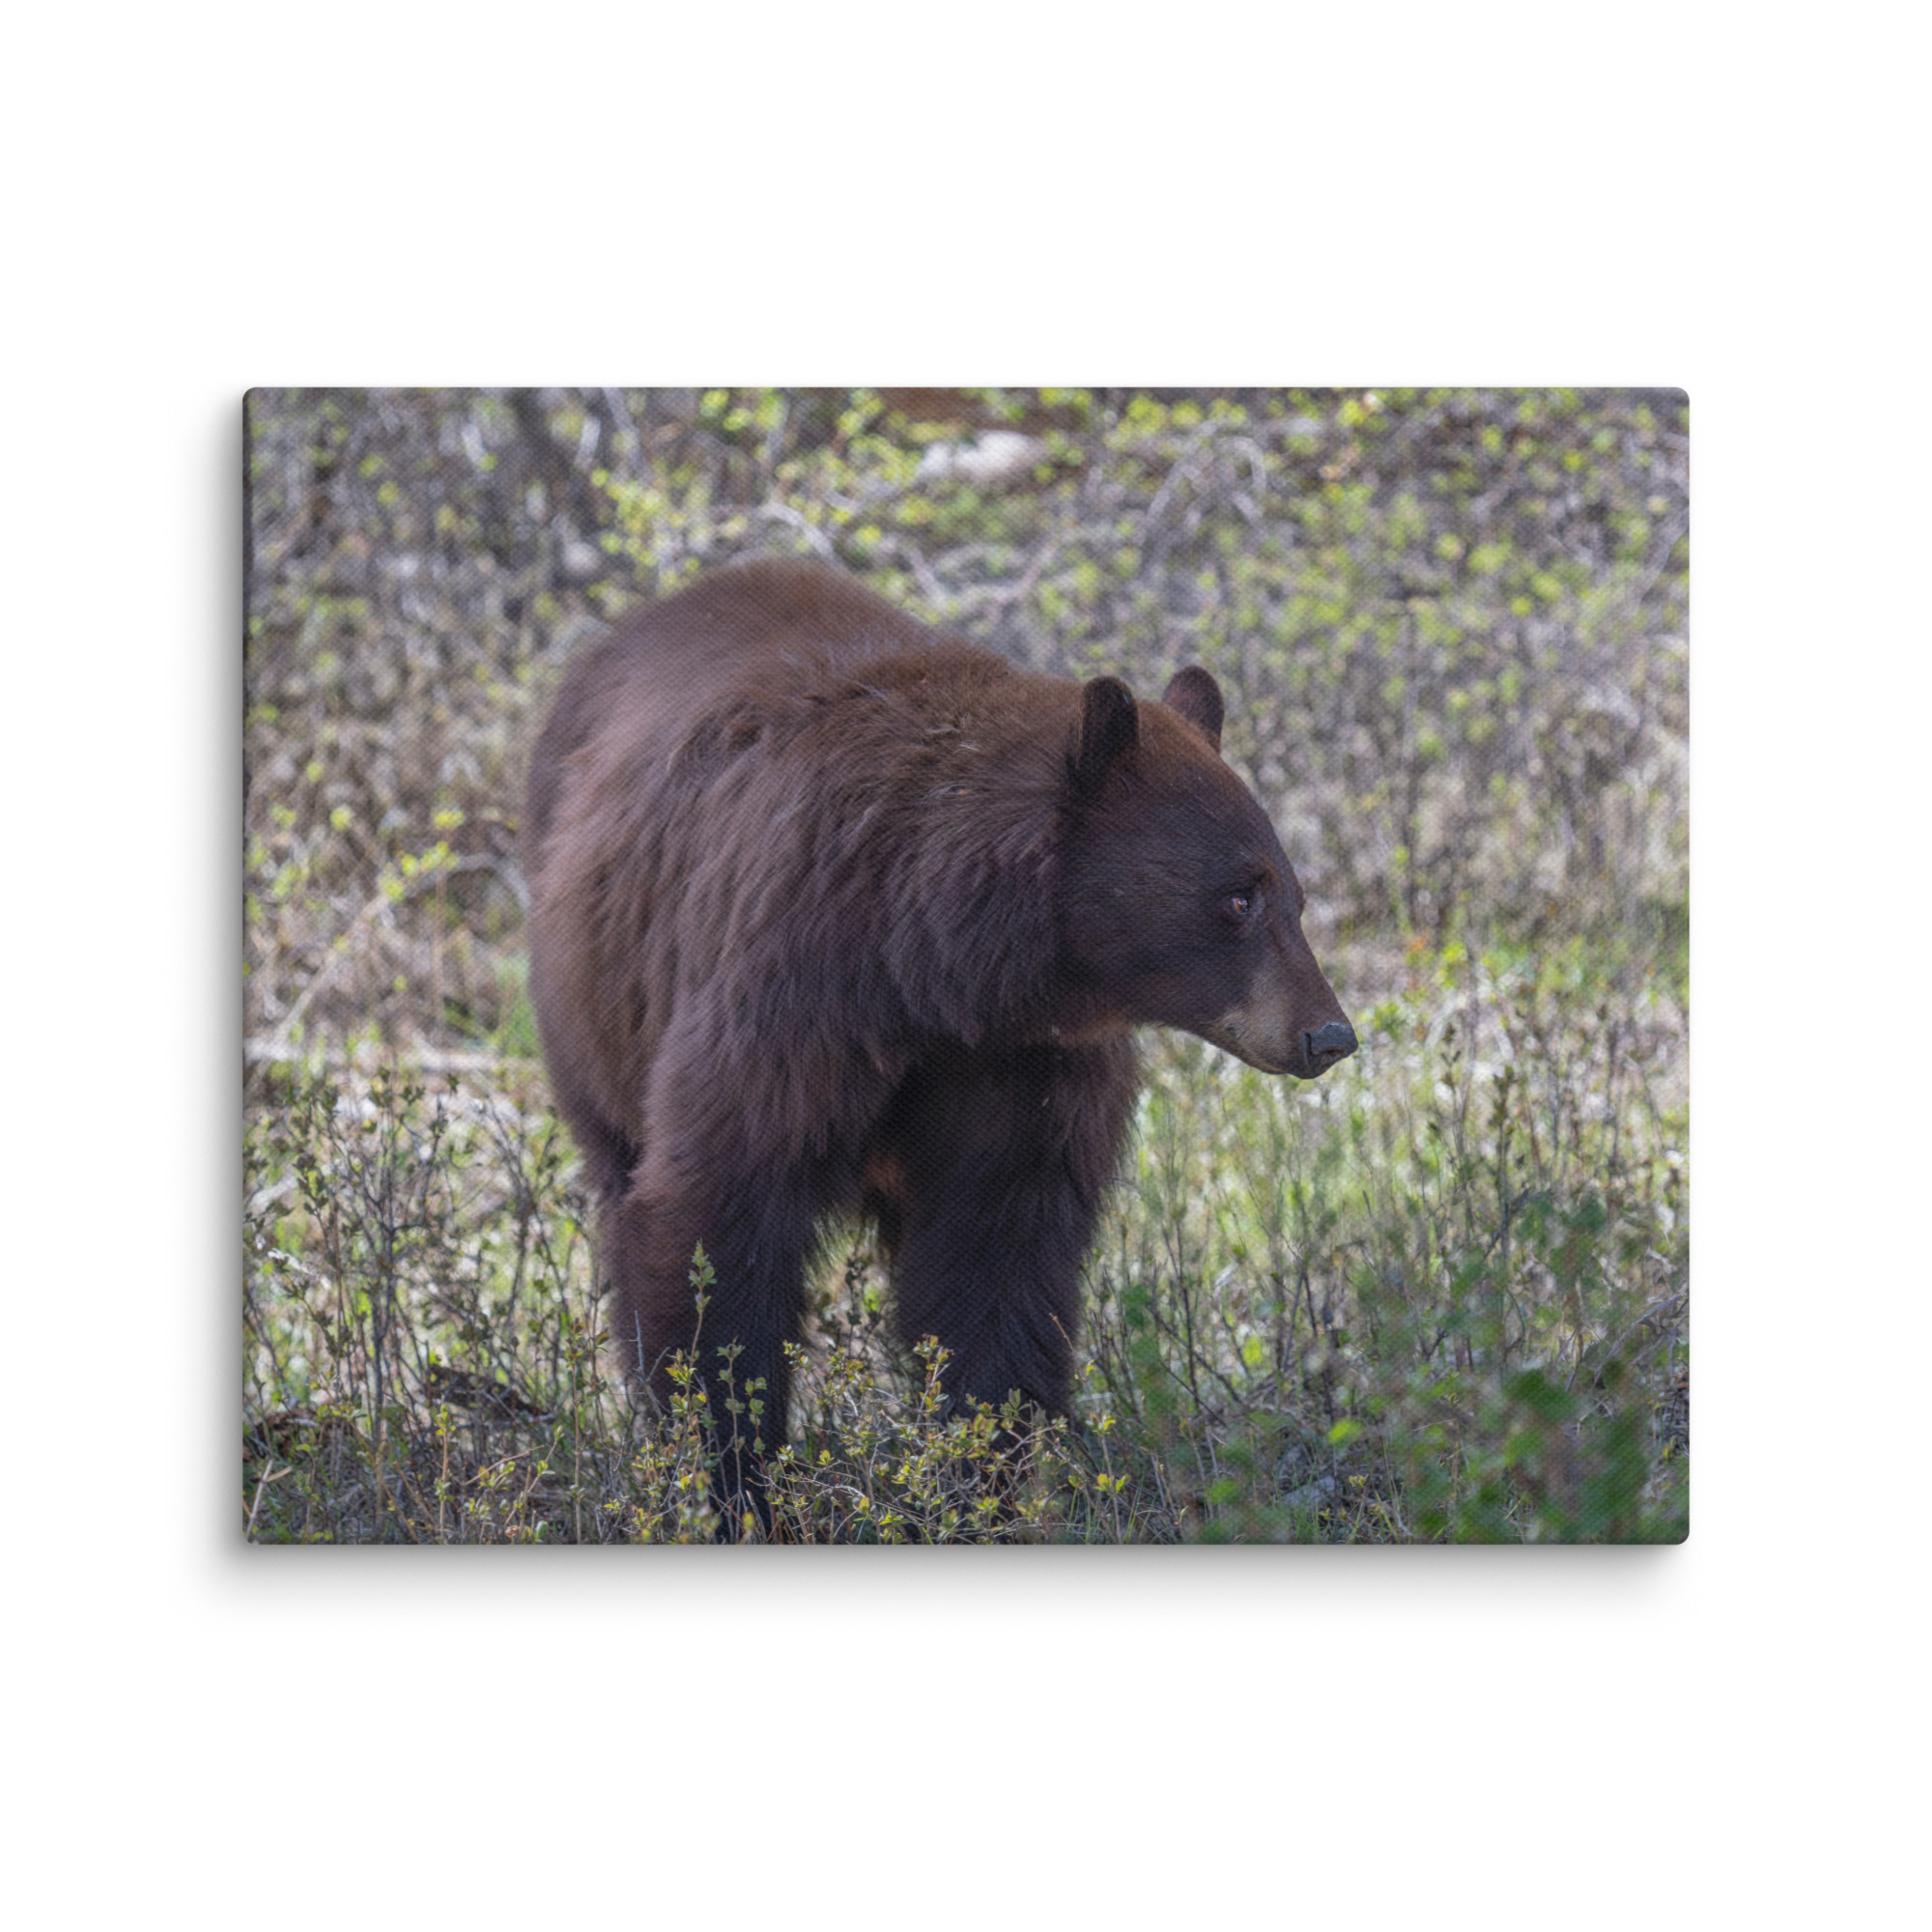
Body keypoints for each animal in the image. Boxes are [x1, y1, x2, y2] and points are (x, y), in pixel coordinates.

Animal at [523, 558, 1355, 1498]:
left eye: (1294, 895)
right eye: (1239, 898)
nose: (1329, 1035)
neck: (933, 964)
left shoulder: (1021, 1063)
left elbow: (997, 1252)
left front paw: (974, 1468)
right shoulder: (793, 991)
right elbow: (718, 1209)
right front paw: (730, 1472)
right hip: (595, 1008)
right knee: (619, 1168)